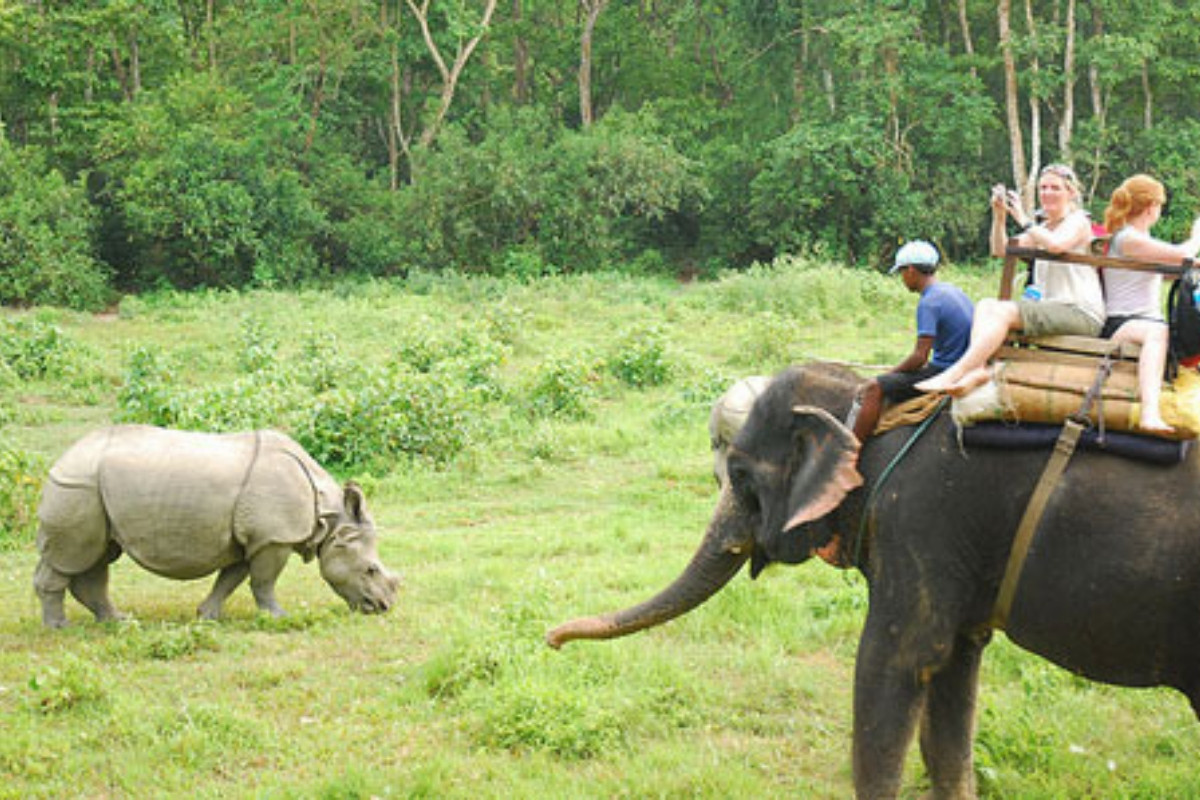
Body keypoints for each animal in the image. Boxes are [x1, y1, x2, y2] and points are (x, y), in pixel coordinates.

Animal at [549, 364, 1200, 800]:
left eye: (740, 473)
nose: (552, 640)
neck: (867, 402)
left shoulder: (922, 519)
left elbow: (893, 665)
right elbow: (952, 673)